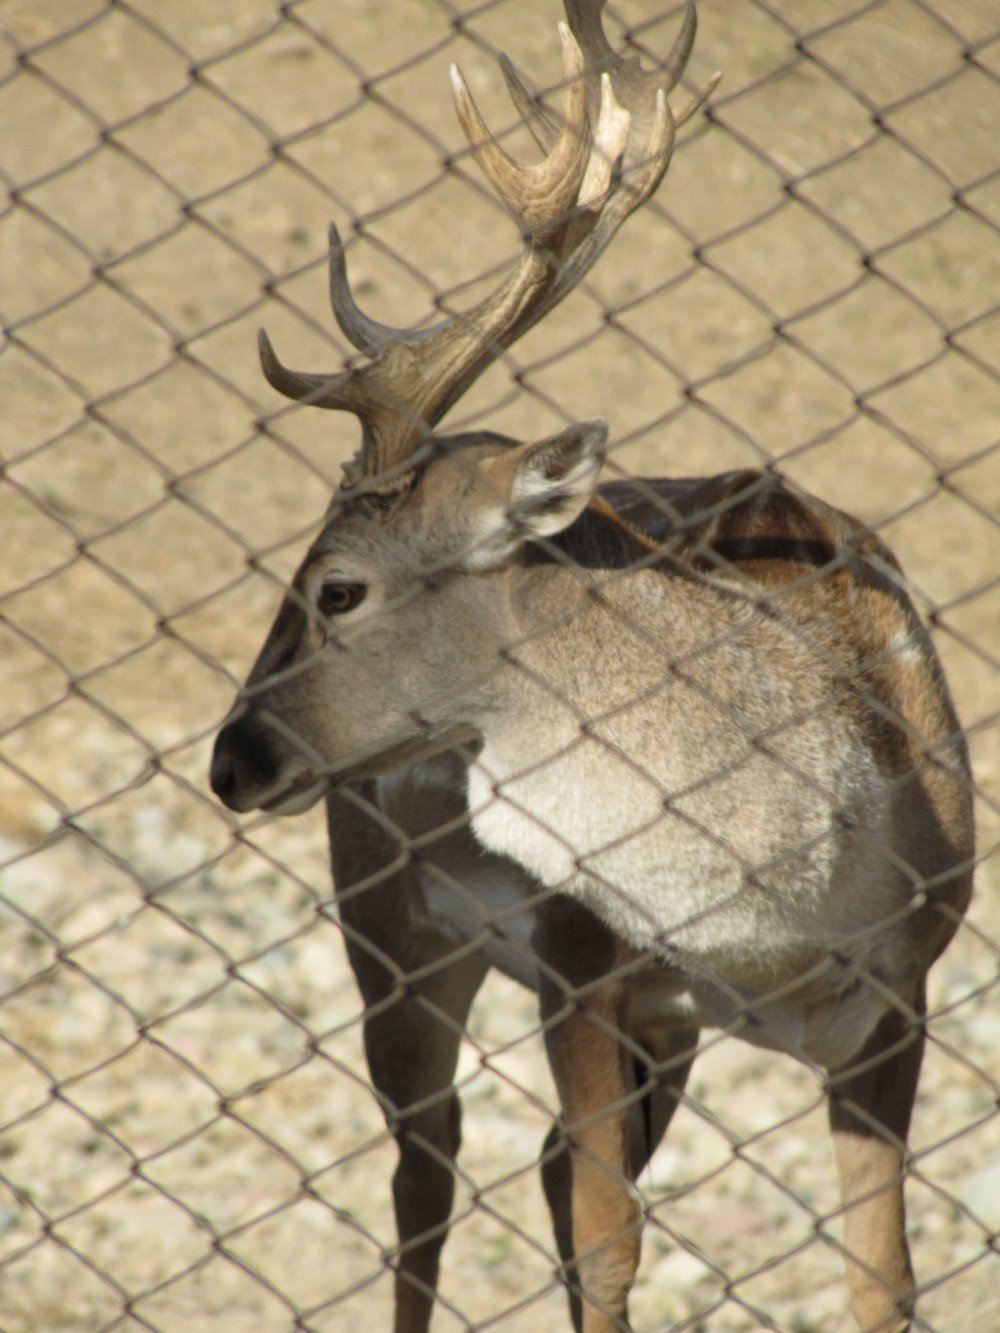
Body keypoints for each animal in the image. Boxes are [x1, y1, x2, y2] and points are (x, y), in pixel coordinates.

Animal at [209, 3, 974, 1330]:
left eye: (336, 586)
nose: (229, 756)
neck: (785, 915)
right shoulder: (575, 952)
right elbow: (610, 1242)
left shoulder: (901, 989)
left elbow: (881, 1279)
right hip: (386, 917)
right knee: (427, 1175)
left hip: (656, 1026)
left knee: (534, 1167)